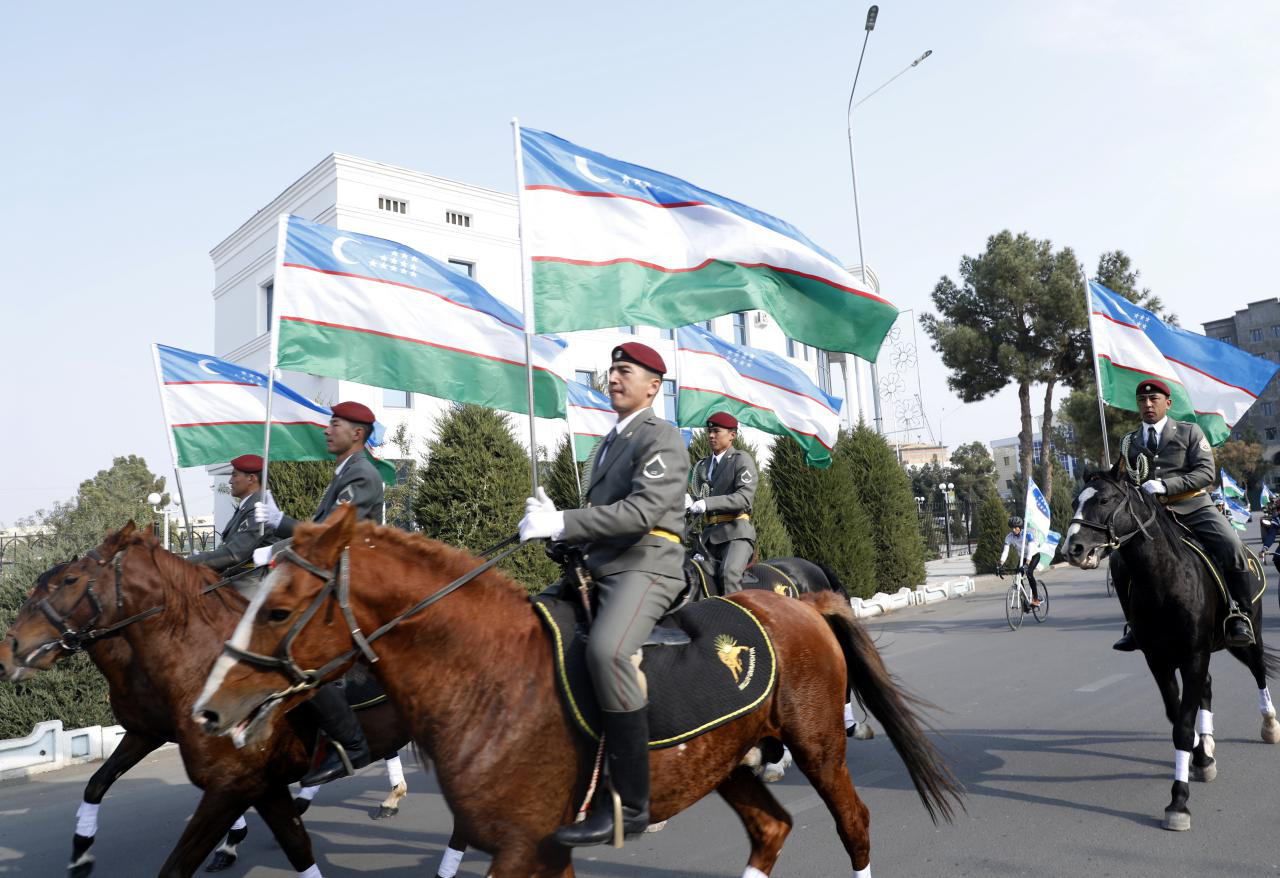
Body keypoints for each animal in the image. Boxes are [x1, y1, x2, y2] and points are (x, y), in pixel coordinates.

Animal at [0, 527, 409, 878]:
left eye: (70, 581)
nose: (9, 650)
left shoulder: (233, 785)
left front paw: (231, 842)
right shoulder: (151, 735)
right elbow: (96, 784)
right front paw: (81, 852)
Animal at [186, 506, 952, 875]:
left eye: (278, 610)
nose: (209, 709)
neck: (487, 672)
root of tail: (802, 601)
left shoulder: (528, 846)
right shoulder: (535, 847)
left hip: (816, 741)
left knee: (852, 823)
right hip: (720, 759)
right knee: (772, 829)